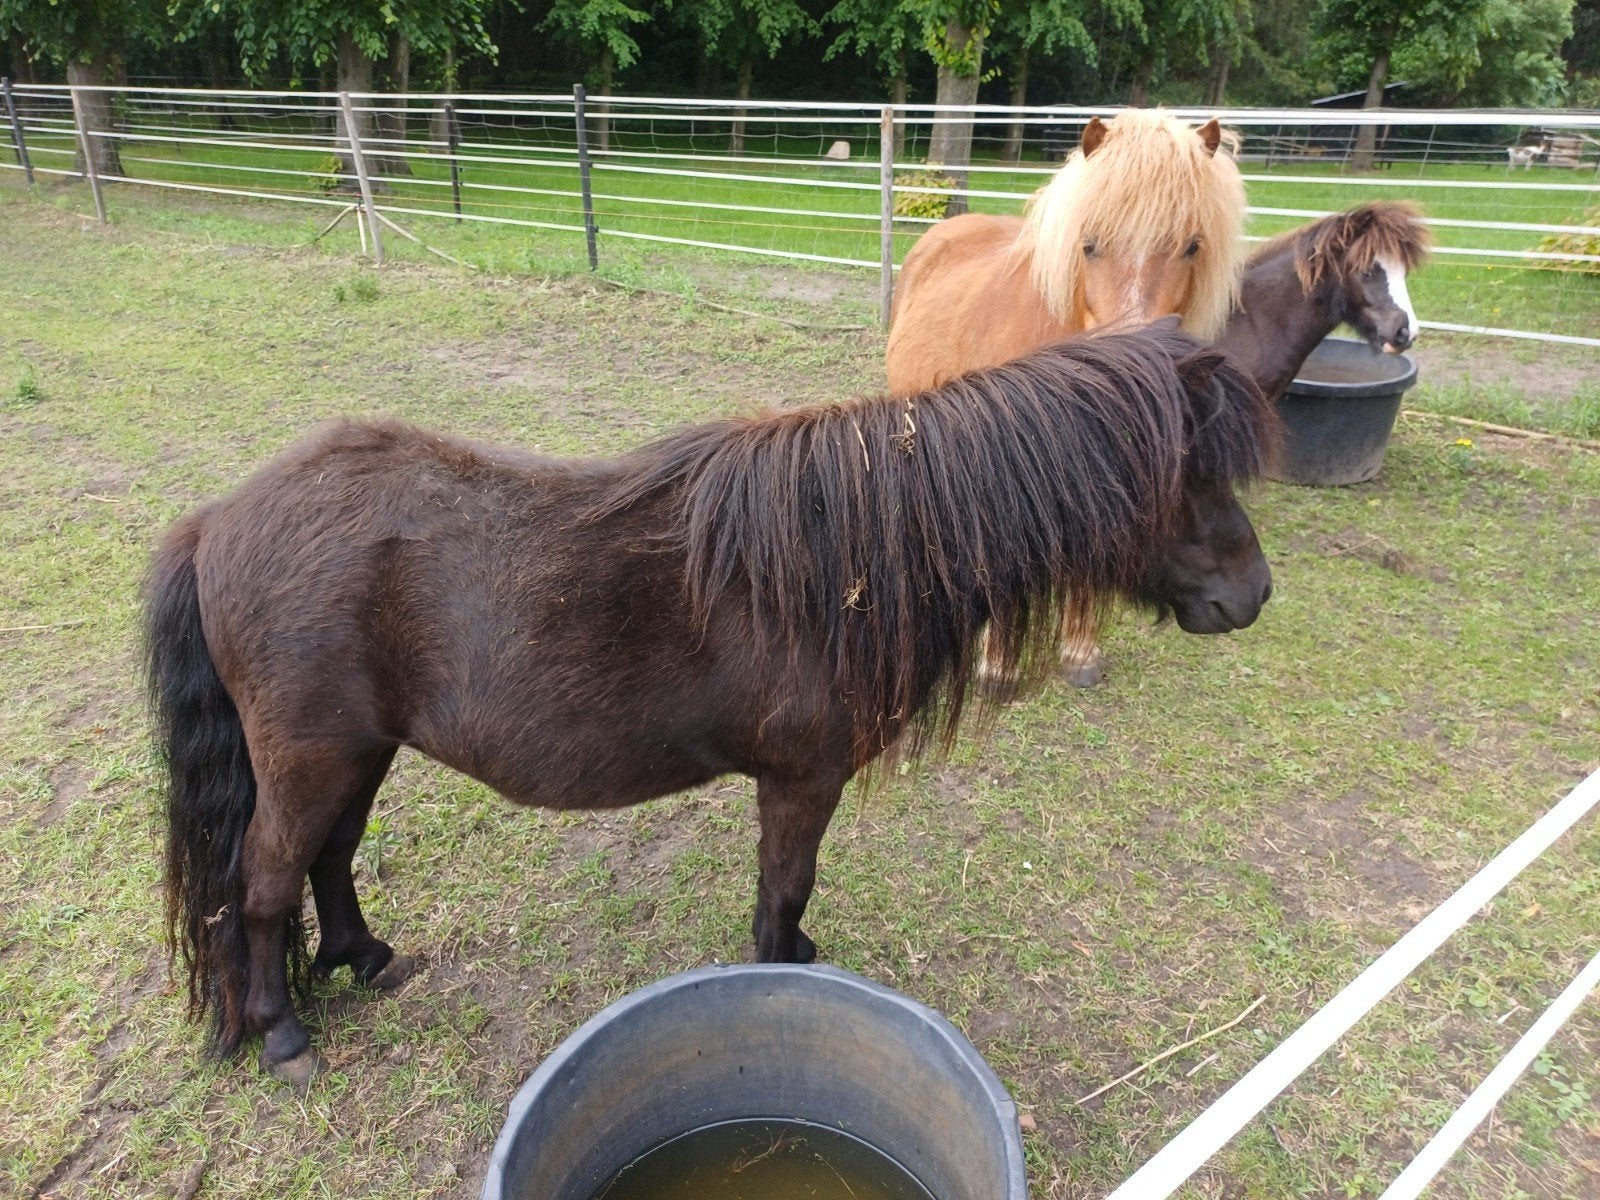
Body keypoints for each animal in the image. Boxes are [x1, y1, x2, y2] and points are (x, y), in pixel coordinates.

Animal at [146, 326, 1277, 1088]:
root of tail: (216, 520)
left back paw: (363, 961)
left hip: (357, 752)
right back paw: (283, 1034)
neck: (847, 562)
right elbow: (783, 895)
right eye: (1193, 472)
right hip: (310, 757)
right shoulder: (800, 780)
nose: (1252, 595)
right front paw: (786, 983)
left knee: (328, 859)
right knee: (261, 883)